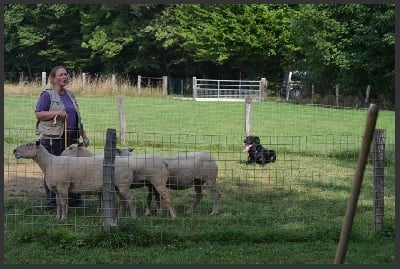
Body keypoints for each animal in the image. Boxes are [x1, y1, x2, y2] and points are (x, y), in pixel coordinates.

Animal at [14, 141, 177, 219]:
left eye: (29, 144)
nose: (14, 151)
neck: (49, 163)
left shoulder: (63, 186)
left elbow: (64, 203)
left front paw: (64, 219)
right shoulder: (56, 189)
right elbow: (59, 204)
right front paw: (57, 217)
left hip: (130, 183)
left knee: (134, 199)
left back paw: (138, 217)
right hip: (120, 186)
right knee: (127, 200)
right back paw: (121, 215)